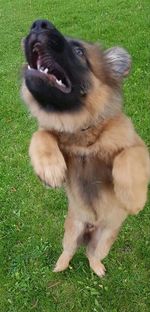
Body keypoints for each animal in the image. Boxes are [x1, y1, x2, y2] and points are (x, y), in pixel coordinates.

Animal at [21, 20, 150, 278]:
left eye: (79, 51)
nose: (39, 24)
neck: (83, 134)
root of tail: (91, 227)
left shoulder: (138, 146)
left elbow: (128, 156)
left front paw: (134, 198)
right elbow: (41, 134)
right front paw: (50, 169)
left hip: (105, 240)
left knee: (92, 253)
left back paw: (98, 268)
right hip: (71, 232)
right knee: (70, 250)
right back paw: (60, 265)